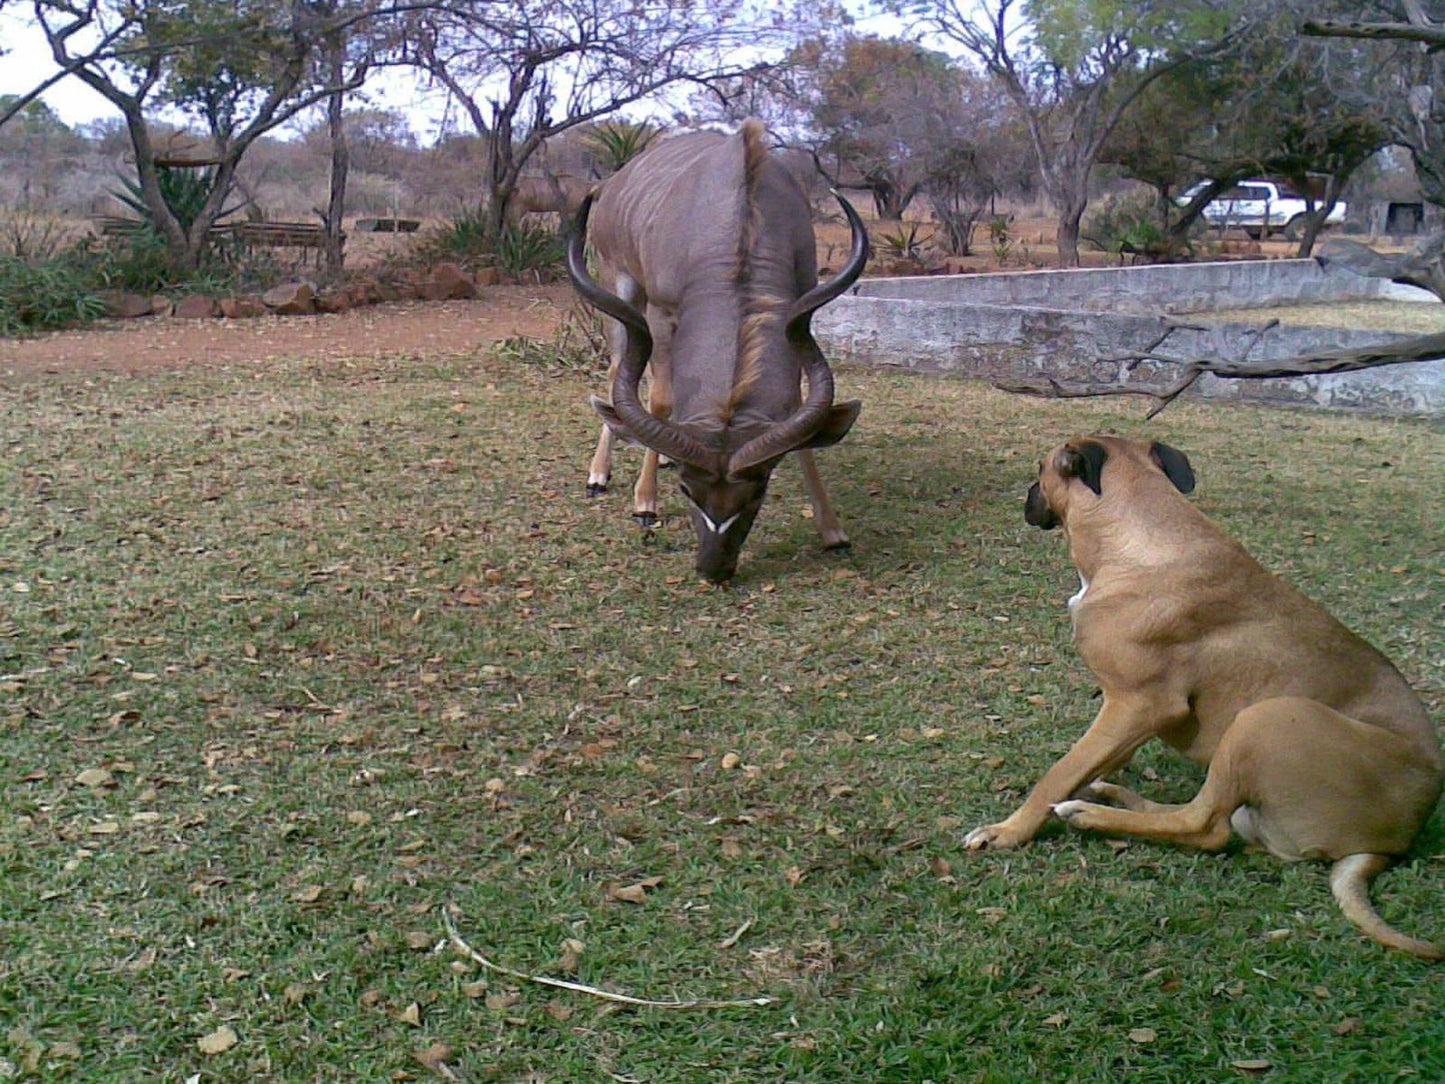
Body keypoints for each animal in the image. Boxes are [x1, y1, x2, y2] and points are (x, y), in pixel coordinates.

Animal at [563, 120, 861, 586]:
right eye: (688, 490)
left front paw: (832, 530)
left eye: (759, 490)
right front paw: (644, 504)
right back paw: (599, 476)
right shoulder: (662, 310)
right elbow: (659, 398)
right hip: (620, 284)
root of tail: (614, 183)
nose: (713, 568)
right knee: (616, 373)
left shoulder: (800, 314)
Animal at [965, 436, 1439, 959]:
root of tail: (1397, 838)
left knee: (1205, 825)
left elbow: (1059, 772)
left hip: (1265, 718)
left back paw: (1089, 814)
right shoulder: (1128, 715)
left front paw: (1009, 831)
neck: (1140, 534)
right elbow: (1094, 760)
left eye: (1040, 469)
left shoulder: (1137, 705)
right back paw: (1110, 798)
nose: (1027, 496)